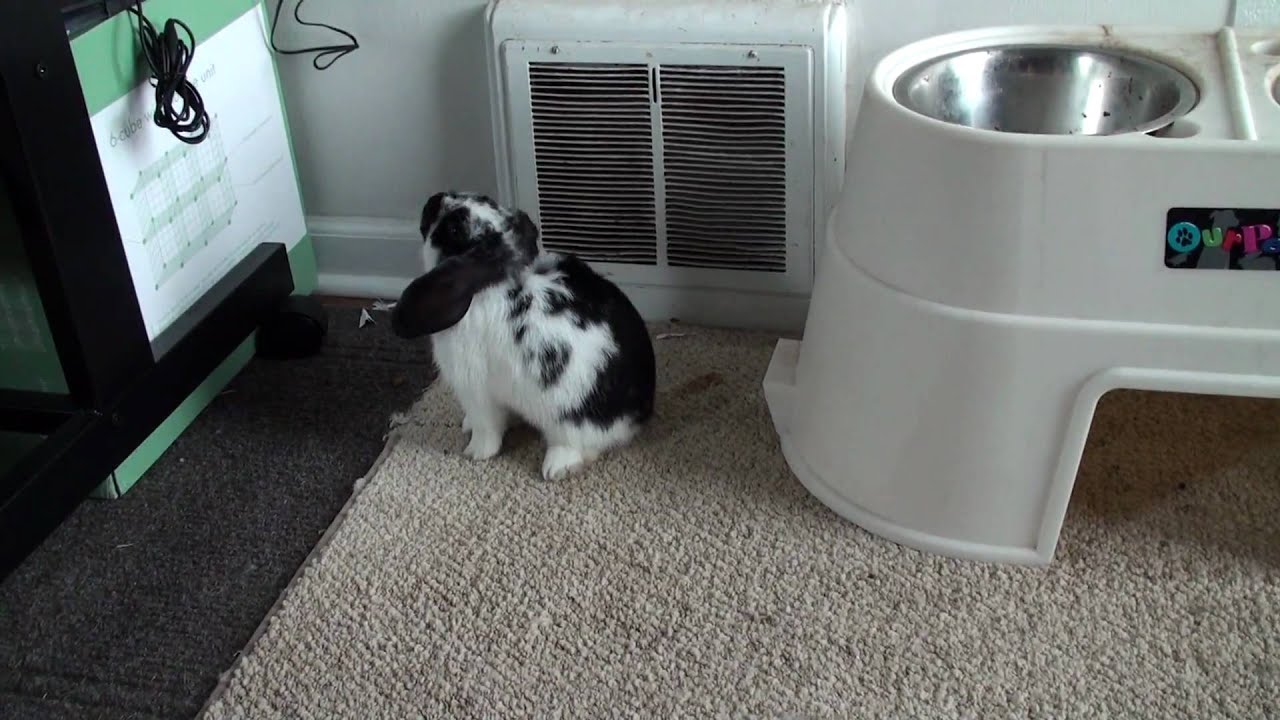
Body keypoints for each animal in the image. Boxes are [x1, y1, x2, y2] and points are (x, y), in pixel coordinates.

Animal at [390, 190, 657, 481]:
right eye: (482, 197)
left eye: (453, 229)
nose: (434, 199)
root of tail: (636, 414)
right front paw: (467, 426)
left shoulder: (474, 389)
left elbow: (487, 427)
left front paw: (475, 452)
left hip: (563, 418)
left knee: (575, 445)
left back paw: (556, 468)